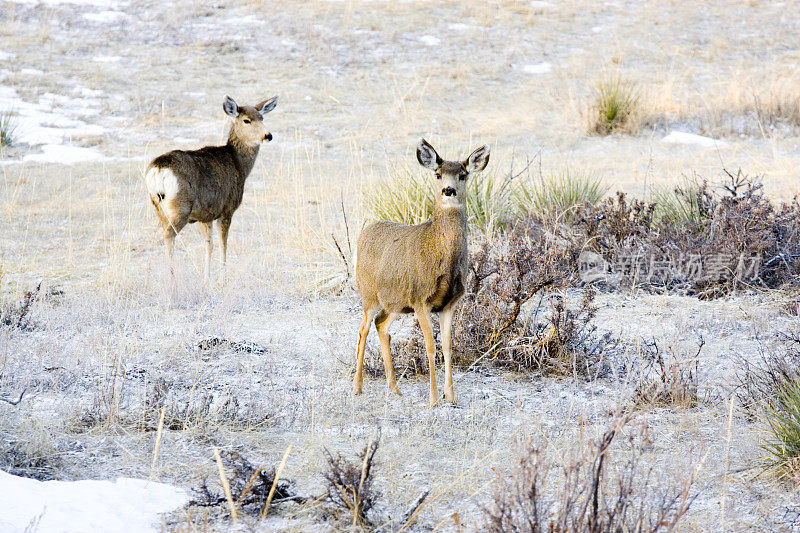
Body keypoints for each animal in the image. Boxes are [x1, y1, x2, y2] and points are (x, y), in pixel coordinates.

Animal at [145, 96, 280, 286]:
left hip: (158, 205)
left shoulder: (205, 214)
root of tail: (158, 169)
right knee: (169, 235)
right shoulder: (227, 209)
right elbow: (224, 243)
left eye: (262, 118)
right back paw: (171, 278)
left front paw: (206, 278)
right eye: (246, 120)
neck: (239, 164)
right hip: (181, 206)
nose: (268, 135)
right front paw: (223, 278)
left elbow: (209, 244)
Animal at [354, 139, 490, 406]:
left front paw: (451, 397)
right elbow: (430, 348)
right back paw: (357, 386)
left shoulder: (449, 303)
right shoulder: (420, 299)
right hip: (369, 294)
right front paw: (434, 399)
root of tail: (366, 230)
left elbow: (447, 347)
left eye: (463, 174)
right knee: (363, 329)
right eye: (437, 174)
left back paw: (394, 387)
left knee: (381, 325)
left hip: (395, 302)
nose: (448, 190)